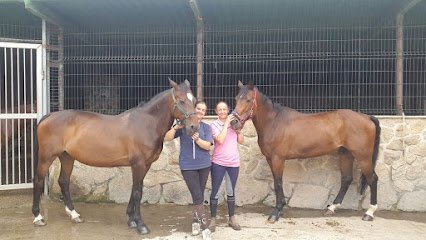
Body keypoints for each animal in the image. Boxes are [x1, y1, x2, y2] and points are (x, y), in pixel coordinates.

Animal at [32, 79, 199, 233]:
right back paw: (38, 217)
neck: (146, 123)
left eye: (195, 101)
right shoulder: (138, 164)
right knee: (38, 180)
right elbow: (138, 192)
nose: (194, 127)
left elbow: (135, 189)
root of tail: (48, 116)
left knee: (63, 181)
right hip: (47, 157)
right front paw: (140, 224)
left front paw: (131, 219)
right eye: (181, 101)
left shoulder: (145, 165)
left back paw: (74, 215)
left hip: (67, 157)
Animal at [231, 81, 382, 222]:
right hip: (346, 155)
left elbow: (278, 183)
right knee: (346, 179)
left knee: (372, 179)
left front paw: (276, 212)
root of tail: (367, 117)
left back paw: (369, 213)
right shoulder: (270, 159)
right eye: (236, 98)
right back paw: (332, 208)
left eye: (248, 100)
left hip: (363, 157)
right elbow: (277, 182)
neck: (274, 122)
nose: (234, 122)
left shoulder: (277, 158)